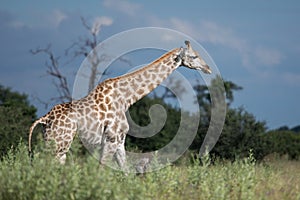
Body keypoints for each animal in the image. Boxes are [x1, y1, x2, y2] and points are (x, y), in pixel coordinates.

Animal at [28, 41, 211, 169]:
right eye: (194, 56)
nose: (208, 68)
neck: (126, 98)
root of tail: (44, 119)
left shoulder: (120, 140)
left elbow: (126, 170)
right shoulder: (112, 138)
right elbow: (102, 169)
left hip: (52, 142)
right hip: (60, 144)